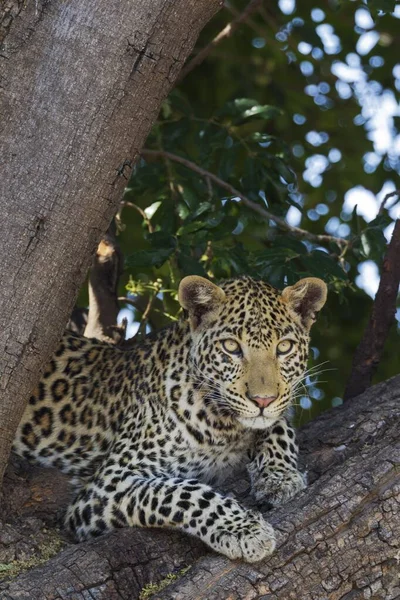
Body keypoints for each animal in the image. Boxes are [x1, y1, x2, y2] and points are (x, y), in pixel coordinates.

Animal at [12, 276, 326, 564]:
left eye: (284, 347)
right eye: (230, 347)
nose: (263, 400)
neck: (222, 426)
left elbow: (279, 427)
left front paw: (280, 477)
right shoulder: (106, 486)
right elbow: (183, 492)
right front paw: (245, 530)